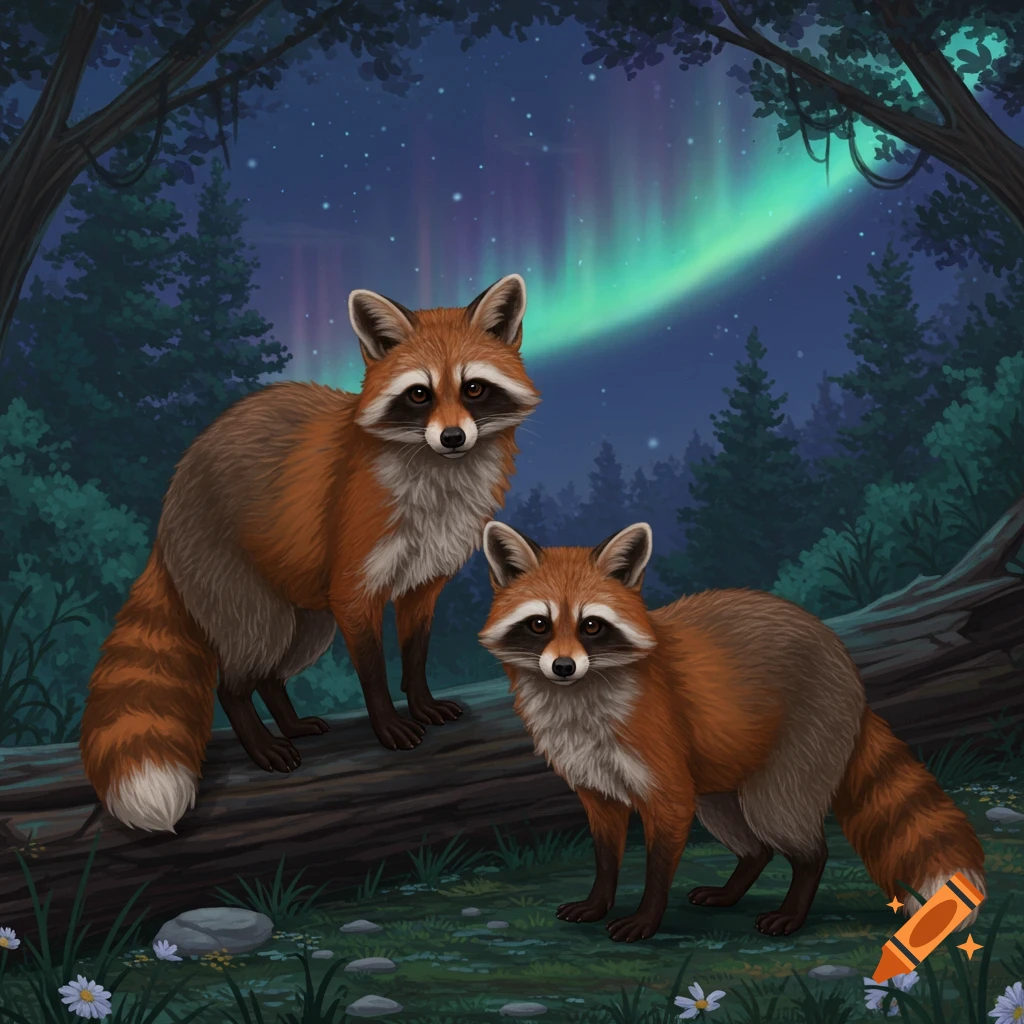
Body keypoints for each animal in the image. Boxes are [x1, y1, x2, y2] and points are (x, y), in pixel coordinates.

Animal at [79, 273, 540, 834]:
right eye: (419, 394)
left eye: (473, 388)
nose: (452, 438)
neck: (437, 477)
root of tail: (171, 499)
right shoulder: (354, 578)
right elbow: (372, 670)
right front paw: (386, 719)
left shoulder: (422, 578)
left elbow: (415, 652)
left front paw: (420, 699)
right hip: (252, 601)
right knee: (235, 680)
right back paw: (259, 739)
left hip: (308, 620)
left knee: (271, 673)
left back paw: (290, 719)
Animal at [477, 519, 986, 943]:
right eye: (539, 624)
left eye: (591, 626)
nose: (563, 667)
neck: (579, 695)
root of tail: (849, 669)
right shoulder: (592, 774)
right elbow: (605, 850)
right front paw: (599, 899)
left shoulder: (658, 756)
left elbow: (662, 852)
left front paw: (648, 913)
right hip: (721, 778)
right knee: (752, 842)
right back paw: (737, 882)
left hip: (796, 749)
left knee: (792, 832)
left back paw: (797, 899)